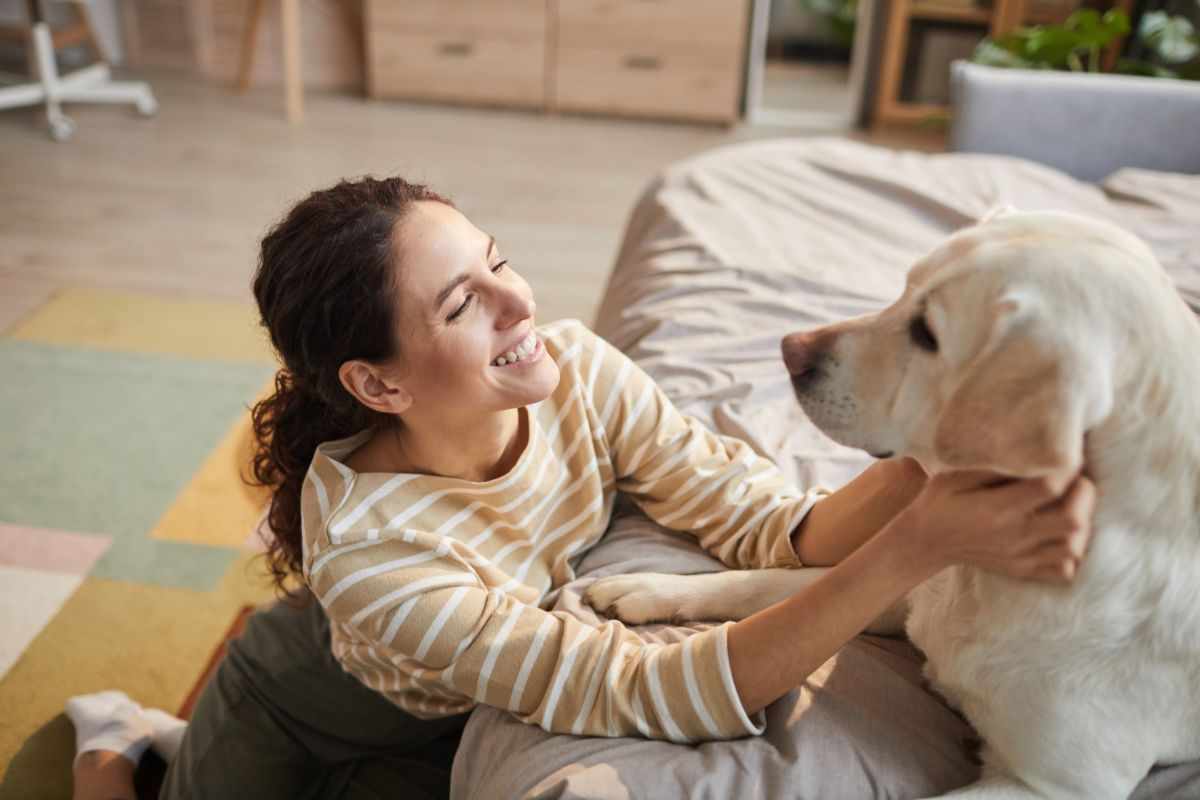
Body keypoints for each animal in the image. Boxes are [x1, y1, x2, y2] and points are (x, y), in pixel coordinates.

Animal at [585, 211, 1200, 800]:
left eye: (927, 333)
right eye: (905, 287)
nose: (790, 351)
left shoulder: (1052, 785)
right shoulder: (907, 589)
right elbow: (770, 583)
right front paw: (650, 587)